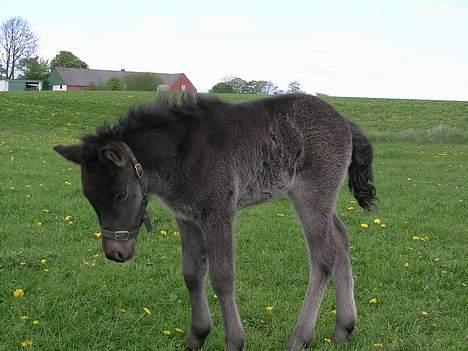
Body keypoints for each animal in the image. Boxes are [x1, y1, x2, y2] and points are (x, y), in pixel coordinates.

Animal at [54, 94, 376, 351]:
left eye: (120, 194)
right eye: (90, 198)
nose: (115, 253)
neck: (181, 153)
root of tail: (344, 121)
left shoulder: (219, 213)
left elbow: (222, 277)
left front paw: (234, 341)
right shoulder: (186, 218)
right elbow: (191, 273)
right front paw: (197, 335)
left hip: (311, 193)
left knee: (323, 255)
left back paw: (300, 338)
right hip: (319, 198)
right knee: (341, 239)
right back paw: (343, 328)